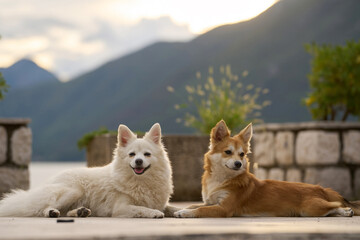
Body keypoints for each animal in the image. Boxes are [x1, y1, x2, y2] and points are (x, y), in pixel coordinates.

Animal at [0, 123, 176, 218]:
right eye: (132, 154)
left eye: (147, 154)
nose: (138, 161)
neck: (141, 181)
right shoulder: (121, 208)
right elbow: (141, 208)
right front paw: (154, 212)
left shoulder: (163, 203)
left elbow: (173, 208)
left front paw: (180, 212)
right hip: (74, 190)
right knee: (45, 208)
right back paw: (52, 212)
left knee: (65, 212)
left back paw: (80, 212)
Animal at [174, 120, 358, 218]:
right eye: (228, 152)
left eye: (242, 154)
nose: (238, 164)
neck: (222, 178)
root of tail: (320, 188)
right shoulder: (211, 201)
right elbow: (194, 205)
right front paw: (180, 209)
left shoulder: (223, 209)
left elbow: (199, 209)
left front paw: (183, 212)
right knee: (331, 209)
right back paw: (345, 212)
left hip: (309, 209)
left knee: (333, 205)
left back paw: (346, 210)